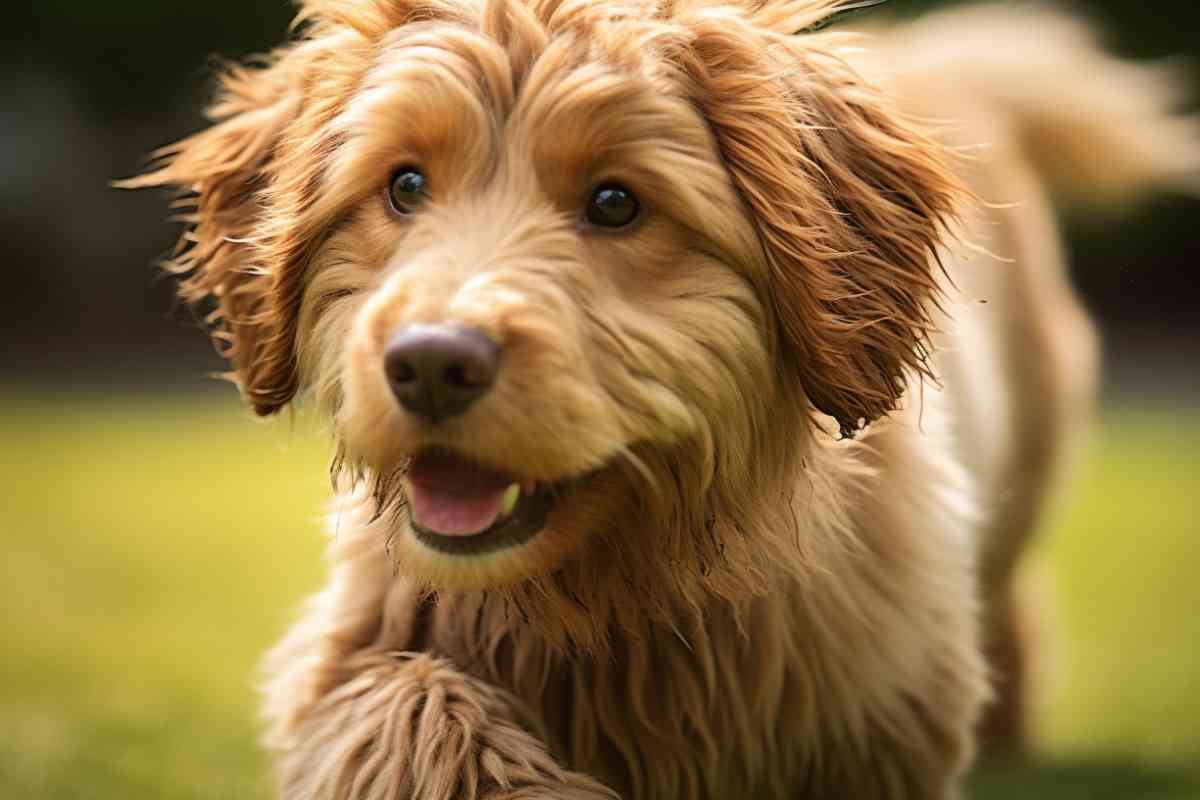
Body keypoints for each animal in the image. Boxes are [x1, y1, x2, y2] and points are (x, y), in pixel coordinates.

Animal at [126, 0, 1195, 796]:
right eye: (403, 186)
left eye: (615, 203)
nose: (429, 363)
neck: (621, 587)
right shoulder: (353, 642)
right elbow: (405, 712)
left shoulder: (873, 710)